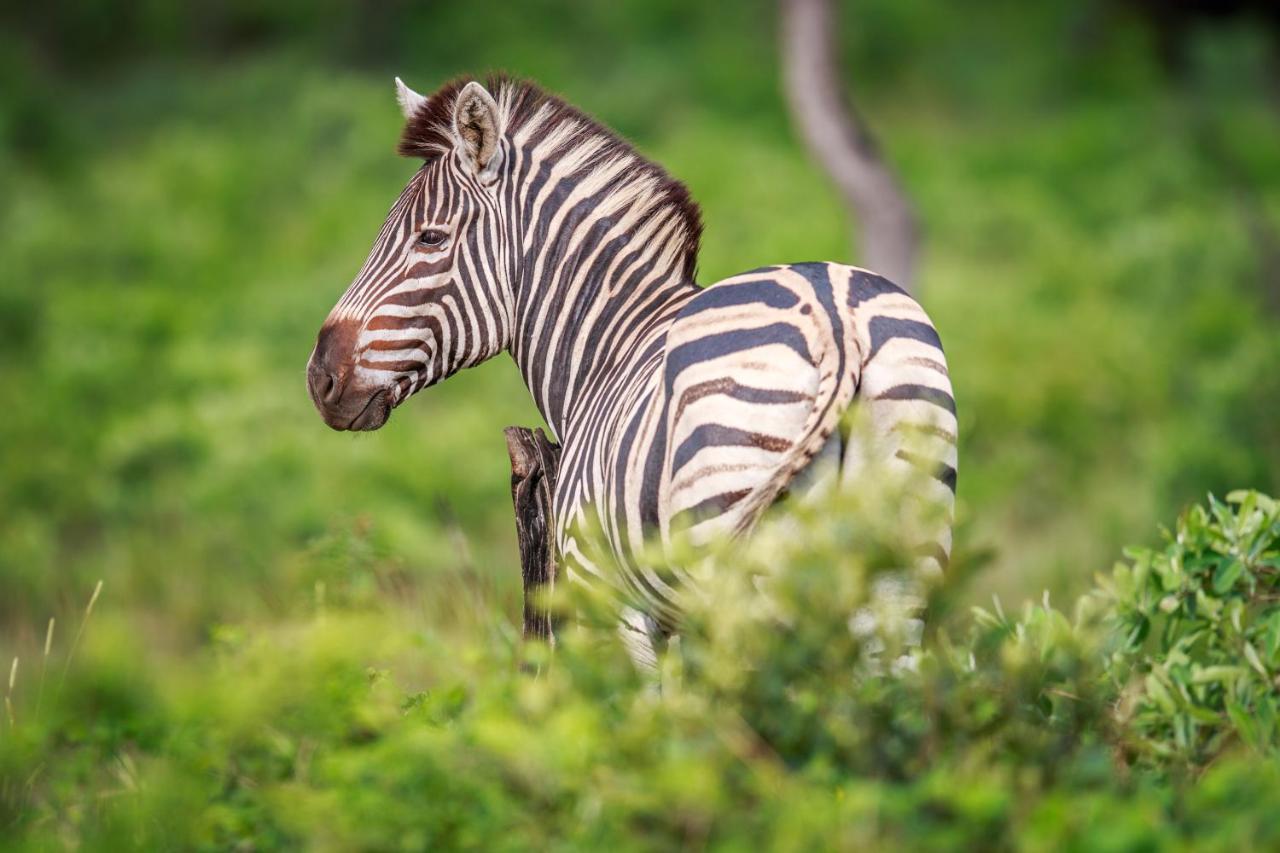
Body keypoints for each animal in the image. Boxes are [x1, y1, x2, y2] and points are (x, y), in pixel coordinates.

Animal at [304, 74, 957, 655]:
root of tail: (834, 319)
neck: (608, 349)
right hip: (904, 567)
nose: (319, 379)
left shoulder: (611, 594)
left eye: (432, 240)